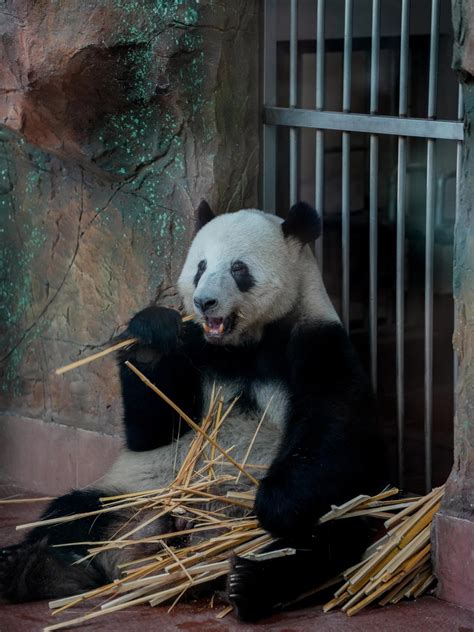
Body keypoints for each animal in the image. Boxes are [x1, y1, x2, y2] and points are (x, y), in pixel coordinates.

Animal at [0, 204, 386, 624]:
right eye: (200, 266)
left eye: (239, 268)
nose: (204, 303)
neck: (242, 345)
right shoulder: (195, 349)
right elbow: (153, 429)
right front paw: (151, 333)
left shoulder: (316, 343)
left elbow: (332, 430)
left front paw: (271, 503)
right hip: (131, 493)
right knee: (69, 515)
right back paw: (31, 570)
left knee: (325, 543)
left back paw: (249, 582)